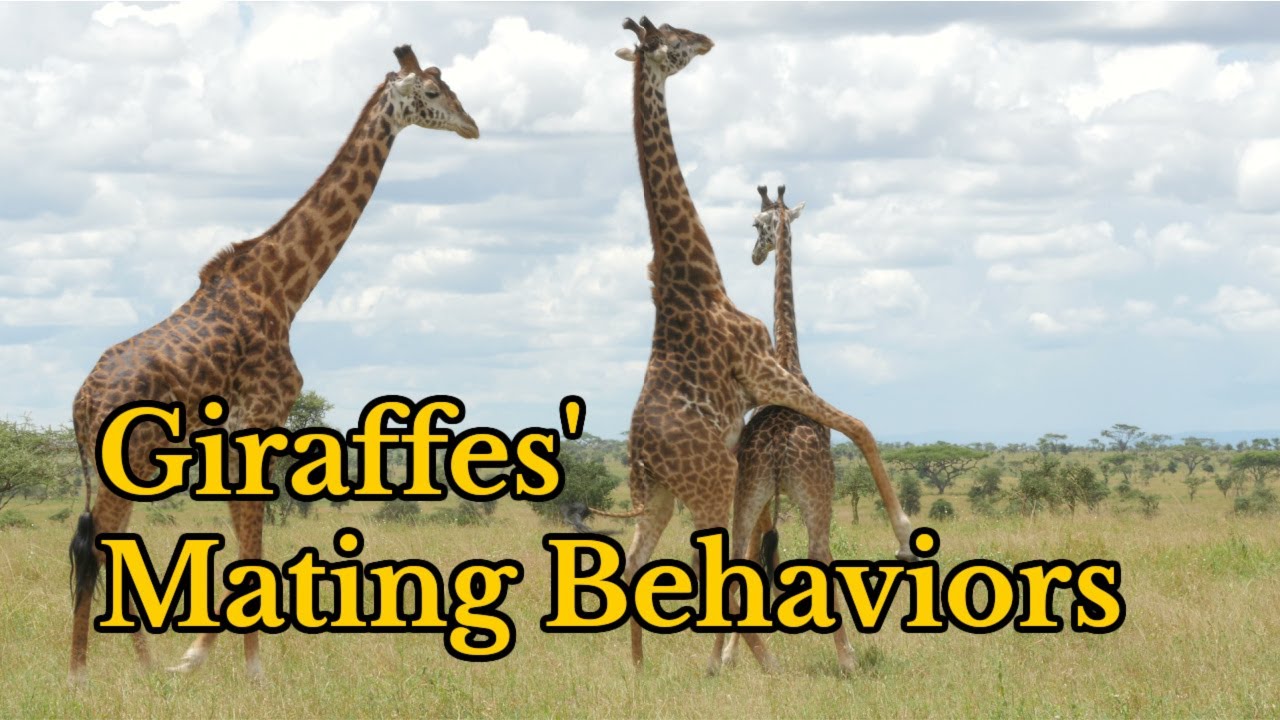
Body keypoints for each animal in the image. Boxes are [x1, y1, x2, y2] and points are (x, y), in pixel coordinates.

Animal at [66, 44, 478, 685]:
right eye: (433, 94)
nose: (471, 126)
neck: (286, 290)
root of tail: (82, 403)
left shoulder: (237, 434)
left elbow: (242, 540)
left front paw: (193, 658)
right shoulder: (258, 418)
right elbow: (251, 542)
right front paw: (252, 670)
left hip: (116, 466)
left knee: (106, 543)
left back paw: (144, 664)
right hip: (127, 461)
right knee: (100, 544)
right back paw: (82, 674)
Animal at [722, 185, 859, 673]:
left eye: (757, 223)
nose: (755, 255)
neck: (789, 360)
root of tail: (781, 449)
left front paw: (733, 651)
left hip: (754, 489)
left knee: (738, 553)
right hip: (814, 489)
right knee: (821, 552)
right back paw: (848, 660)